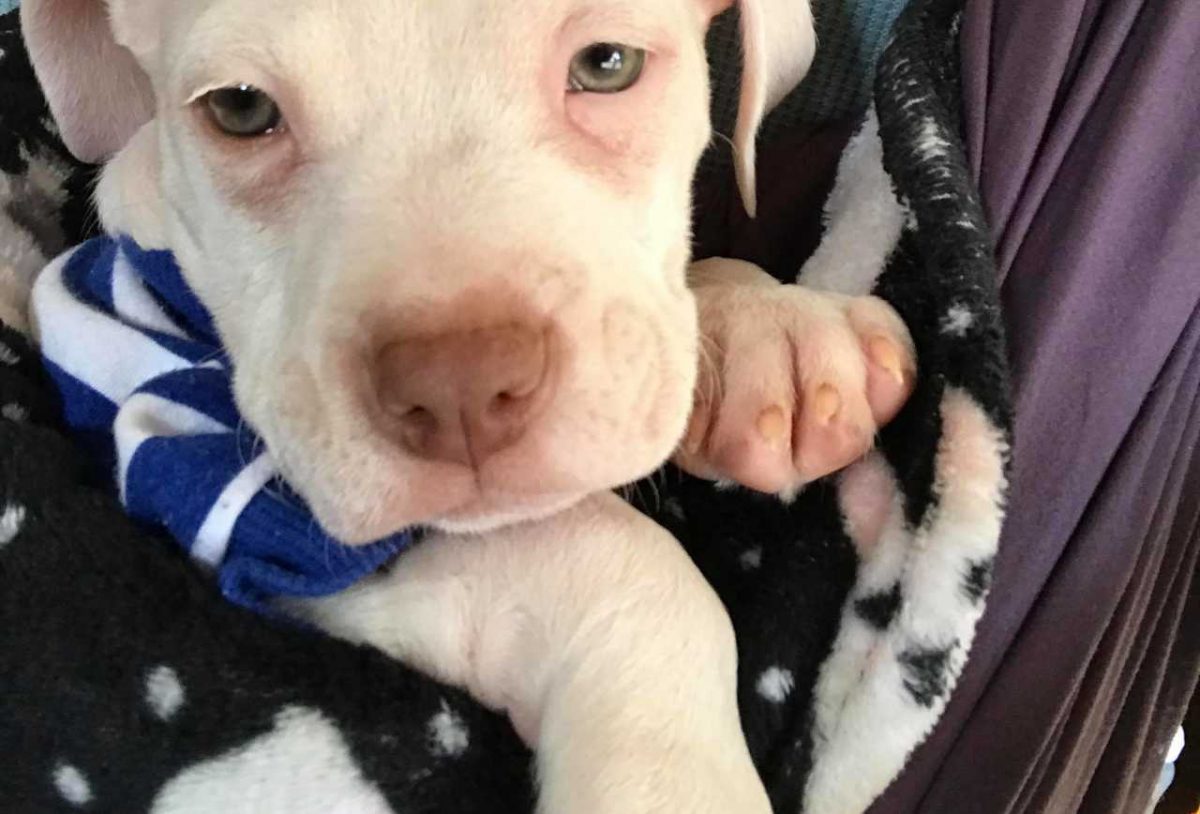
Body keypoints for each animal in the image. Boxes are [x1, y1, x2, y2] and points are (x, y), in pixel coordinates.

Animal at [21, 0, 916, 810]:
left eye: (608, 64)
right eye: (240, 109)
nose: (458, 389)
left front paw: (767, 335)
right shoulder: (254, 524)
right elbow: (613, 554)